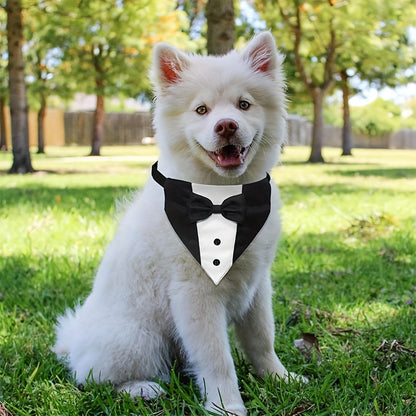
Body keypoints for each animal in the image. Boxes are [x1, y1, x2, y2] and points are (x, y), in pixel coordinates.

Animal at [53, 31, 304, 416]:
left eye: (243, 105)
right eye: (201, 110)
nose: (226, 125)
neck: (221, 200)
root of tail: (75, 339)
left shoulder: (257, 284)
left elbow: (263, 339)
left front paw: (279, 379)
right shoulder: (195, 294)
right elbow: (217, 359)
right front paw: (226, 405)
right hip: (138, 339)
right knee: (93, 377)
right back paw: (142, 389)